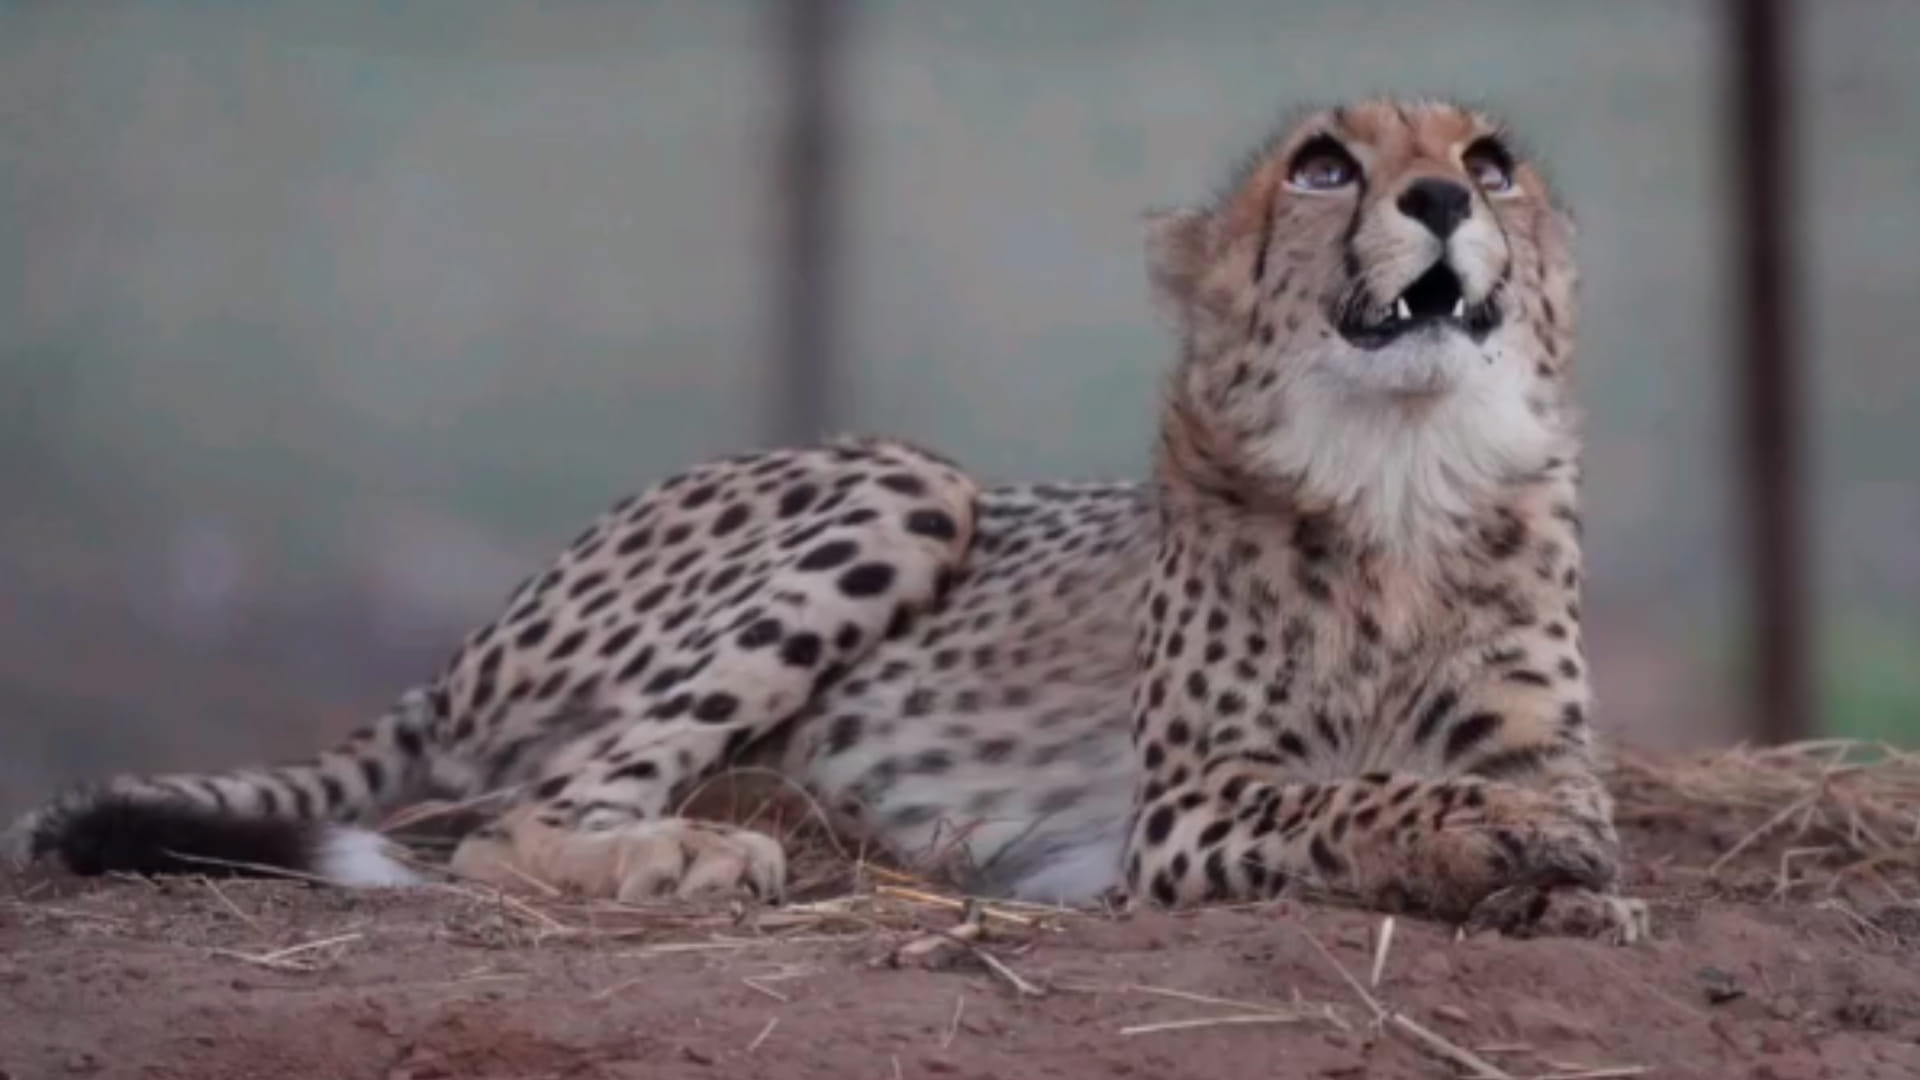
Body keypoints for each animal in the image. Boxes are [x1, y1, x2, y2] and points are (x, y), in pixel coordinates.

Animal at [3, 97, 1646, 942]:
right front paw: (1488, 842)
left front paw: (1540, 876)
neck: (1401, 474)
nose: (1442, 199)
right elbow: (1362, 797)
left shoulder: (1547, 752)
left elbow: (1519, 813)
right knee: (511, 822)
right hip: (908, 482)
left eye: (1490, 161)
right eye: (1323, 165)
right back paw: (687, 856)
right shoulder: (1183, 808)